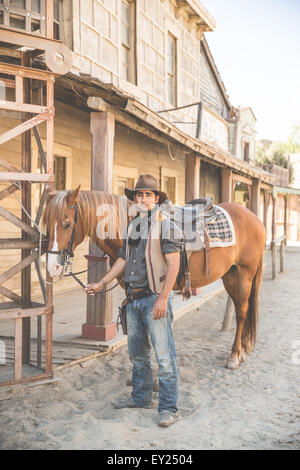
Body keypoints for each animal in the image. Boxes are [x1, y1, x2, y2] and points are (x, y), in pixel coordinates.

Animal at [44, 186, 264, 370]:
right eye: (47, 222)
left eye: (67, 224)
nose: (53, 267)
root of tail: (255, 218)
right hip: (231, 276)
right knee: (241, 307)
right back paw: (244, 348)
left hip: (244, 275)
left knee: (242, 312)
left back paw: (234, 355)